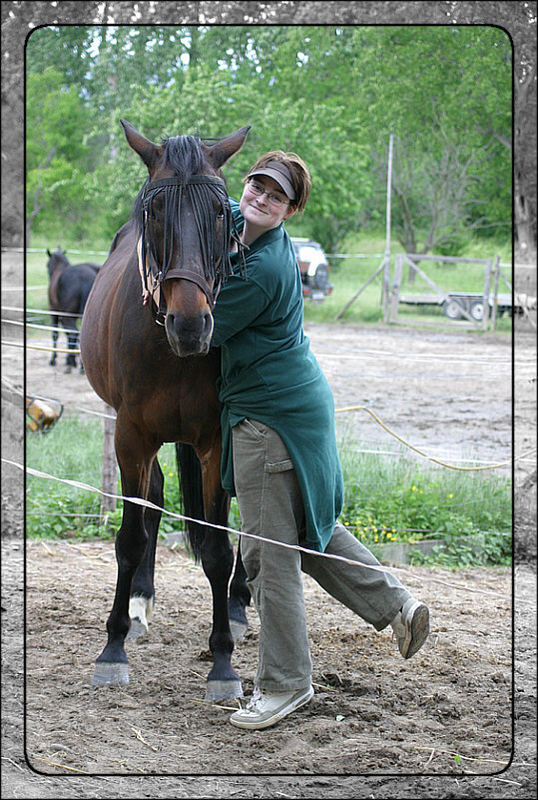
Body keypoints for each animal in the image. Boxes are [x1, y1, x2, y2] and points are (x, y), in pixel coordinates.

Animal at [80, 119, 251, 700]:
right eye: (154, 212)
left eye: (221, 212)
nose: (190, 325)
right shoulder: (131, 436)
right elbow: (131, 536)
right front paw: (112, 647)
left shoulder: (216, 442)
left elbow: (218, 547)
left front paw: (223, 662)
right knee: (151, 501)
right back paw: (139, 601)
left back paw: (240, 602)